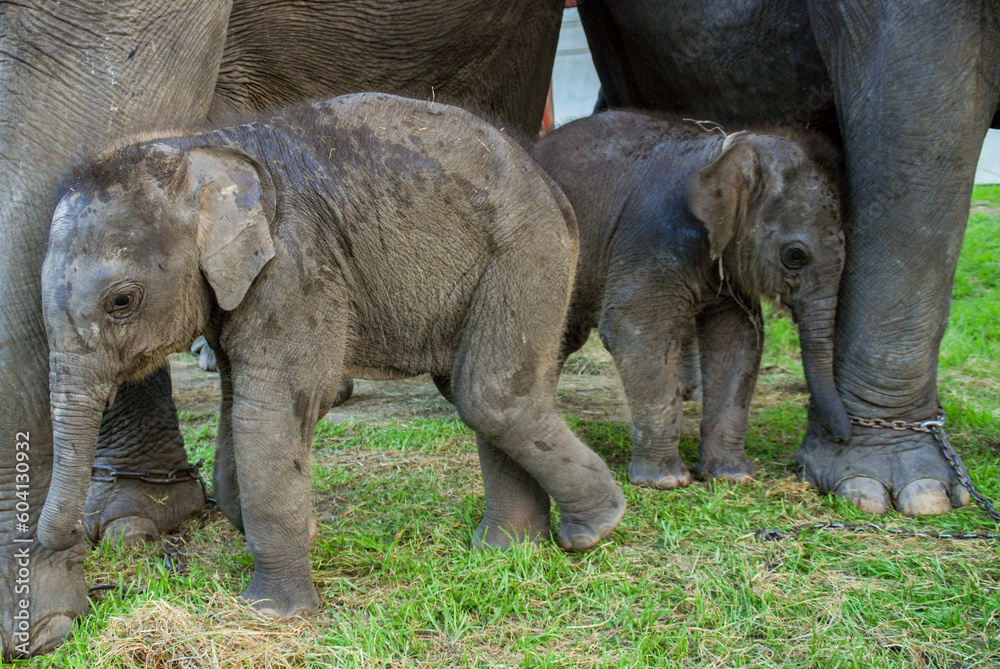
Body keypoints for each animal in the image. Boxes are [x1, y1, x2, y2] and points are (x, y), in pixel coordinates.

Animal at [37, 92, 627, 619]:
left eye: (121, 301)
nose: (79, 540)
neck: (197, 147)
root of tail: (545, 178)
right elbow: (239, 406)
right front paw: (301, 533)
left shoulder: (296, 267)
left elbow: (271, 411)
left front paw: (273, 615)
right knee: (478, 390)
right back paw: (507, 549)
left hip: (528, 249)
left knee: (490, 393)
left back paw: (593, 530)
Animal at [533, 111, 847, 489]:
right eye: (795, 256)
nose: (843, 437)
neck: (723, 155)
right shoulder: (652, 238)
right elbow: (635, 331)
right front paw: (666, 482)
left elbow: (737, 341)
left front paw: (733, 476)